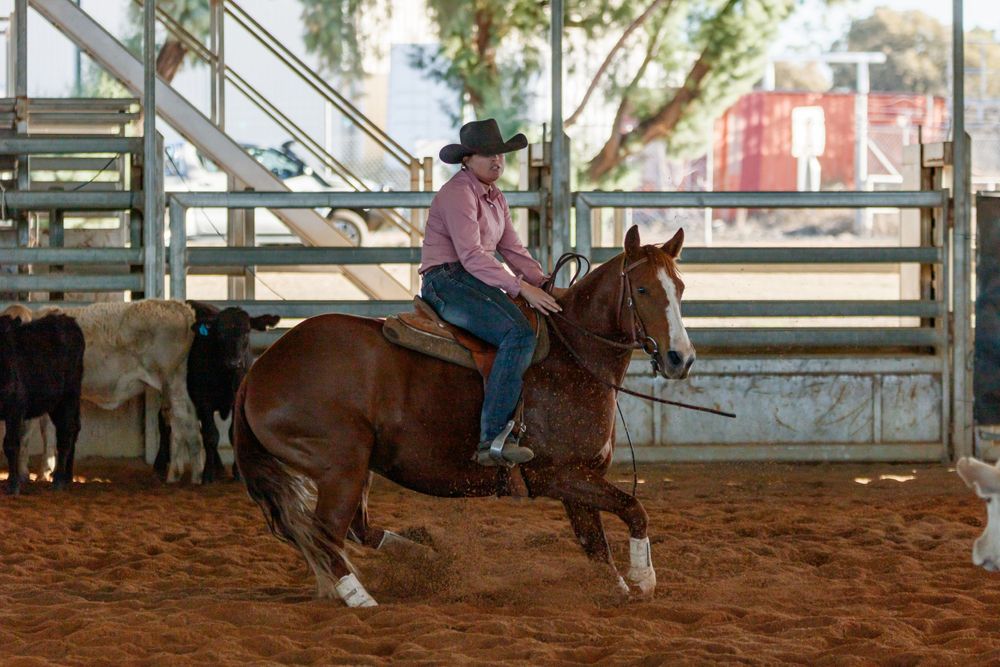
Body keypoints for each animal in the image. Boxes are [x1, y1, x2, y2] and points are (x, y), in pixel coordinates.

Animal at [0, 313, 84, 495]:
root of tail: (68, 320)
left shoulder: (14, 408)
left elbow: (11, 444)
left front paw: (13, 484)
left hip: (69, 397)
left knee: (65, 434)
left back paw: (59, 480)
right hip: (55, 405)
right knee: (73, 429)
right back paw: (67, 477)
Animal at [28, 300, 205, 483]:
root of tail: (180, 307)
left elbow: (47, 430)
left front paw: (44, 472)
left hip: (172, 380)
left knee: (188, 424)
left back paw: (195, 478)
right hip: (173, 385)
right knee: (179, 424)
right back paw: (174, 476)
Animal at [154, 301, 280, 483]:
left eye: (246, 331)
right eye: (220, 333)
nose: (234, 362)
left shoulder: (236, 400)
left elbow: (231, 434)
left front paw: (237, 473)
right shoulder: (203, 401)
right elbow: (211, 435)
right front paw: (208, 474)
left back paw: (219, 466)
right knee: (163, 421)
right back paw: (159, 463)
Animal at [233, 225, 696, 606]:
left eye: (680, 287)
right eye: (641, 290)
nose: (681, 358)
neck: (573, 357)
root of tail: (259, 370)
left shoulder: (580, 478)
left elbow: (595, 542)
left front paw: (619, 587)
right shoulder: (558, 475)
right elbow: (633, 508)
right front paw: (644, 578)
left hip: (356, 467)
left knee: (351, 530)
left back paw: (423, 556)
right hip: (341, 465)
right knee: (326, 533)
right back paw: (359, 596)